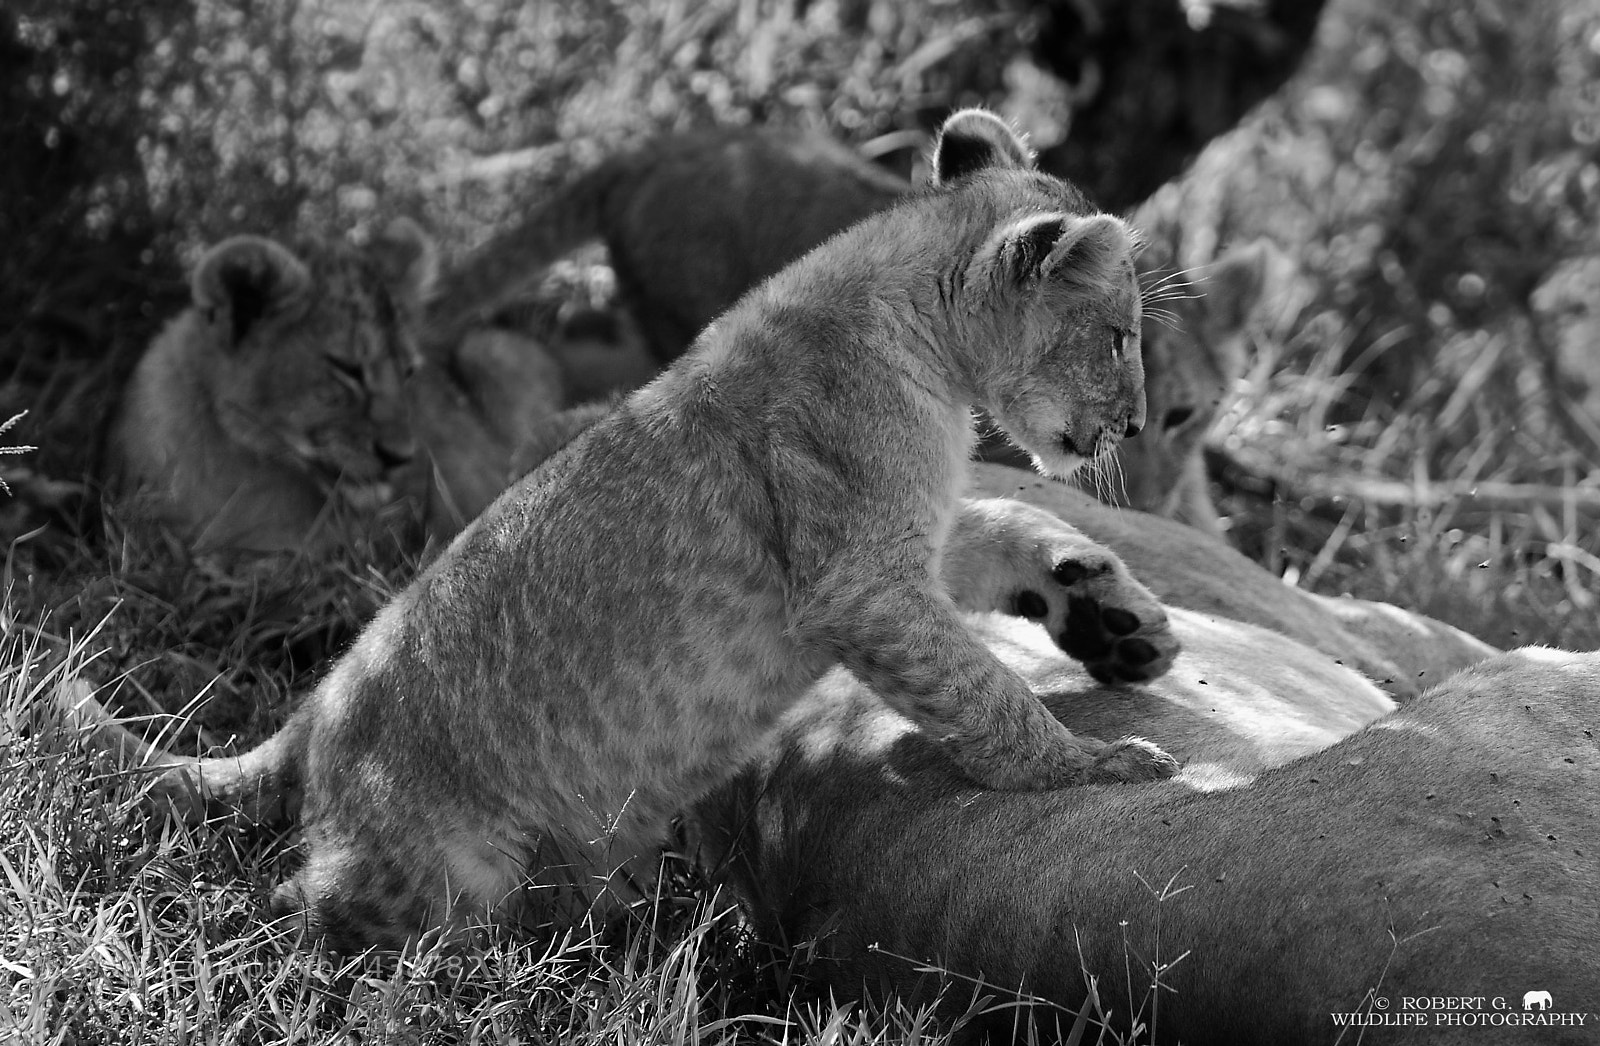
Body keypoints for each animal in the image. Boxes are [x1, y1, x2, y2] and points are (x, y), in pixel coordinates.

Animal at [60, 109, 1177, 950]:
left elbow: (1011, 520)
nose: (1135, 424)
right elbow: (982, 692)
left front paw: (1115, 617)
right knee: (303, 908)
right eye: (1120, 336)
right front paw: (1090, 767)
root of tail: (312, 711)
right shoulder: (858, 578)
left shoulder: (907, 540)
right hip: (446, 866)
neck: (922, 335)